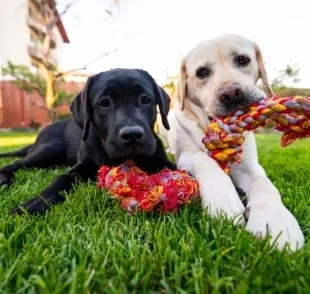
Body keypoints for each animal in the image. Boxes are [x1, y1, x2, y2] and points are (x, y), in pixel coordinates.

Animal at [0, 70, 174, 215]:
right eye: (104, 103)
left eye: (145, 99)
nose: (132, 134)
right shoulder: (80, 167)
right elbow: (60, 179)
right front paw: (34, 203)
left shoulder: (162, 160)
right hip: (48, 151)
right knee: (14, 163)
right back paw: (5, 178)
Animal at [166, 34, 304, 250]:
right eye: (202, 72)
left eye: (242, 60)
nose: (230, 93)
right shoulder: (185, 154)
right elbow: (205, 160)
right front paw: (223, 201)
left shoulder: (248, 164)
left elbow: (264, 184)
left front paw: (275, 220)